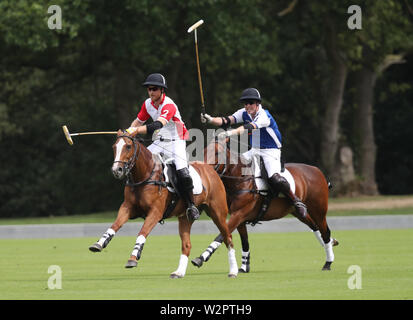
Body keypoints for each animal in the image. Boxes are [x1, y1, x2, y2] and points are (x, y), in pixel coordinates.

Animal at [89, 130, 238, 278]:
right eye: (114, 147)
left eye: (128, 146)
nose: (117, 170)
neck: (145, 175)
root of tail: (210, 168)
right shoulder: (127, 207)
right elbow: (115, 225)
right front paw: (99, 244)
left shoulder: (155, 212)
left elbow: (142, 232)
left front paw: (133, 258)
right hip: (185, 217)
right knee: (187, 244)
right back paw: (179, 272)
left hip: (218, 212)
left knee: (228, 238)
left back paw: (233, 271)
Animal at [192, 139, 336, 272]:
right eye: (204, 150)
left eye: (217, 152)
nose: (203, 169)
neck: (240, 178)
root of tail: (317, 170)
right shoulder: (239, 217)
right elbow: (244, 241)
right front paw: (244, 266)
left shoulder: (239, 214)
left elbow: (222, 235)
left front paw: (200, 258)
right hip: (298, 212)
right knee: (314, 226)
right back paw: (332, 243)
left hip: (319, 210)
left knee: (325, 231)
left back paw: (328, 262)